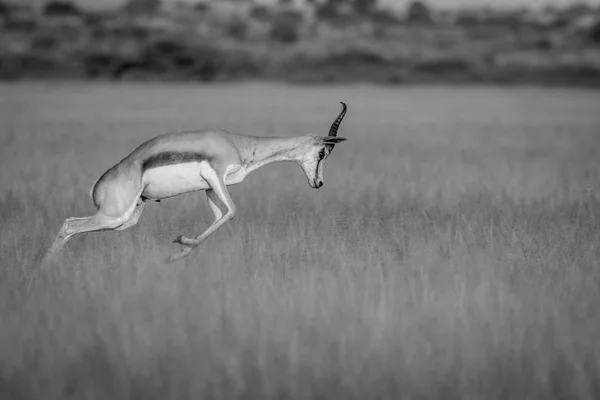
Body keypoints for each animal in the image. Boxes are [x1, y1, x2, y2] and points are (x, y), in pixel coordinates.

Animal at [42, 101, 350, 264]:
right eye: (322, 153)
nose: (318, 183)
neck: (239, 144)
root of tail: (98, 184)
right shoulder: (215, 176)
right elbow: (232, 212)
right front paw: (177, 248)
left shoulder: (209, 187)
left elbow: (218, 218)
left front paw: (179, 249)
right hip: (114, 214)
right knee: (69, 225)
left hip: (125, 219)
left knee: (74, 227)